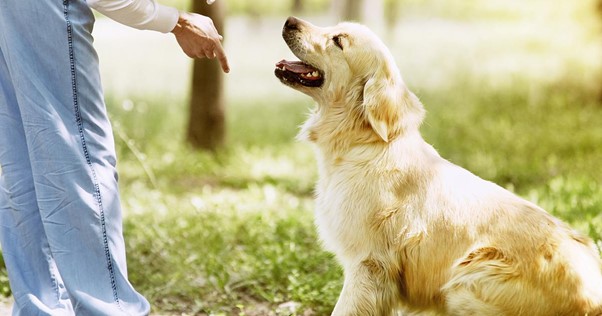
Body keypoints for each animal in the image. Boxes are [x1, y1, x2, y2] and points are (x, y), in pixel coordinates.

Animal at [274, 16, 600, 314]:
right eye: (334, 27)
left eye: (338, 40)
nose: (289, 20)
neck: (364, 143)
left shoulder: (368, 264)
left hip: (465, 280)